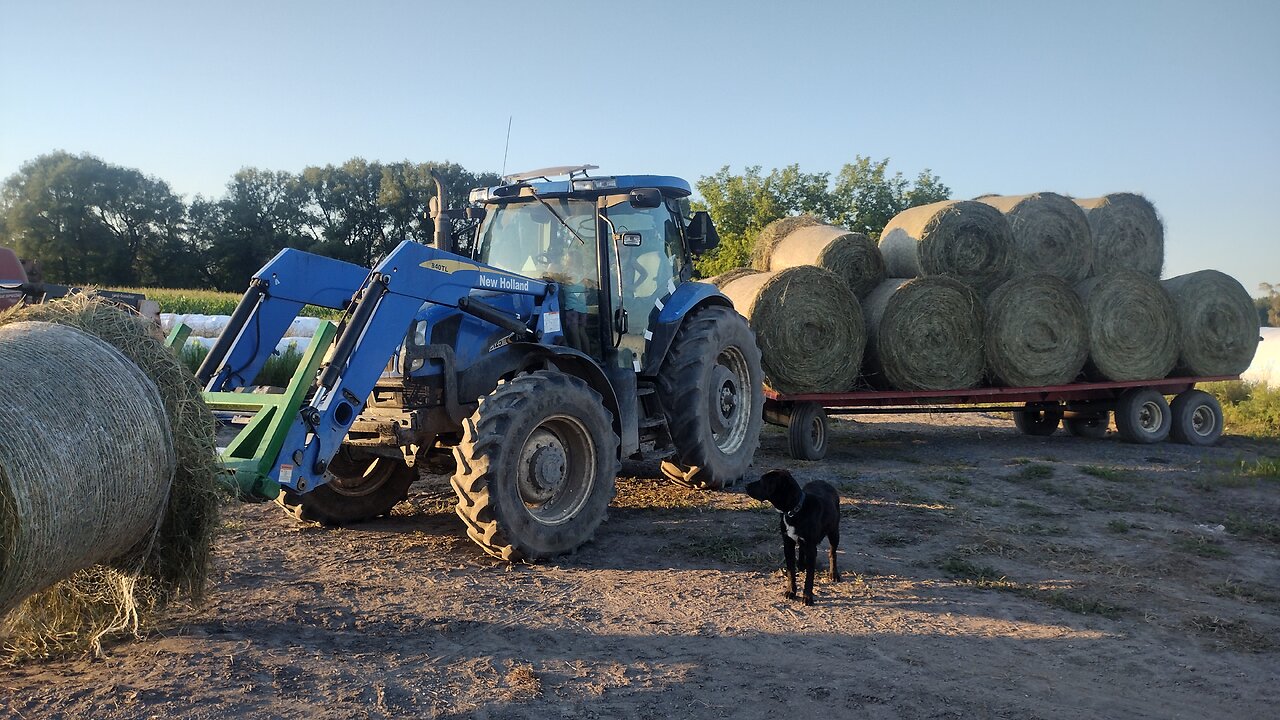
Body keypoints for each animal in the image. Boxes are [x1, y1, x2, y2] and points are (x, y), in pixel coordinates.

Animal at [742, 468, 839, 602]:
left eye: (762, 481)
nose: (746, 485)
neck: (794, 511)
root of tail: (824, 482)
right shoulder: (788, 544)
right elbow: (790, 572)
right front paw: (791, 591)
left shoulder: (811, 547)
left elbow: (810, 576)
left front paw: (807, 597)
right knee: (802, 550)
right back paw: (801, 565)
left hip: (834, 532)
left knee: (832, 553)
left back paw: (833, 574)